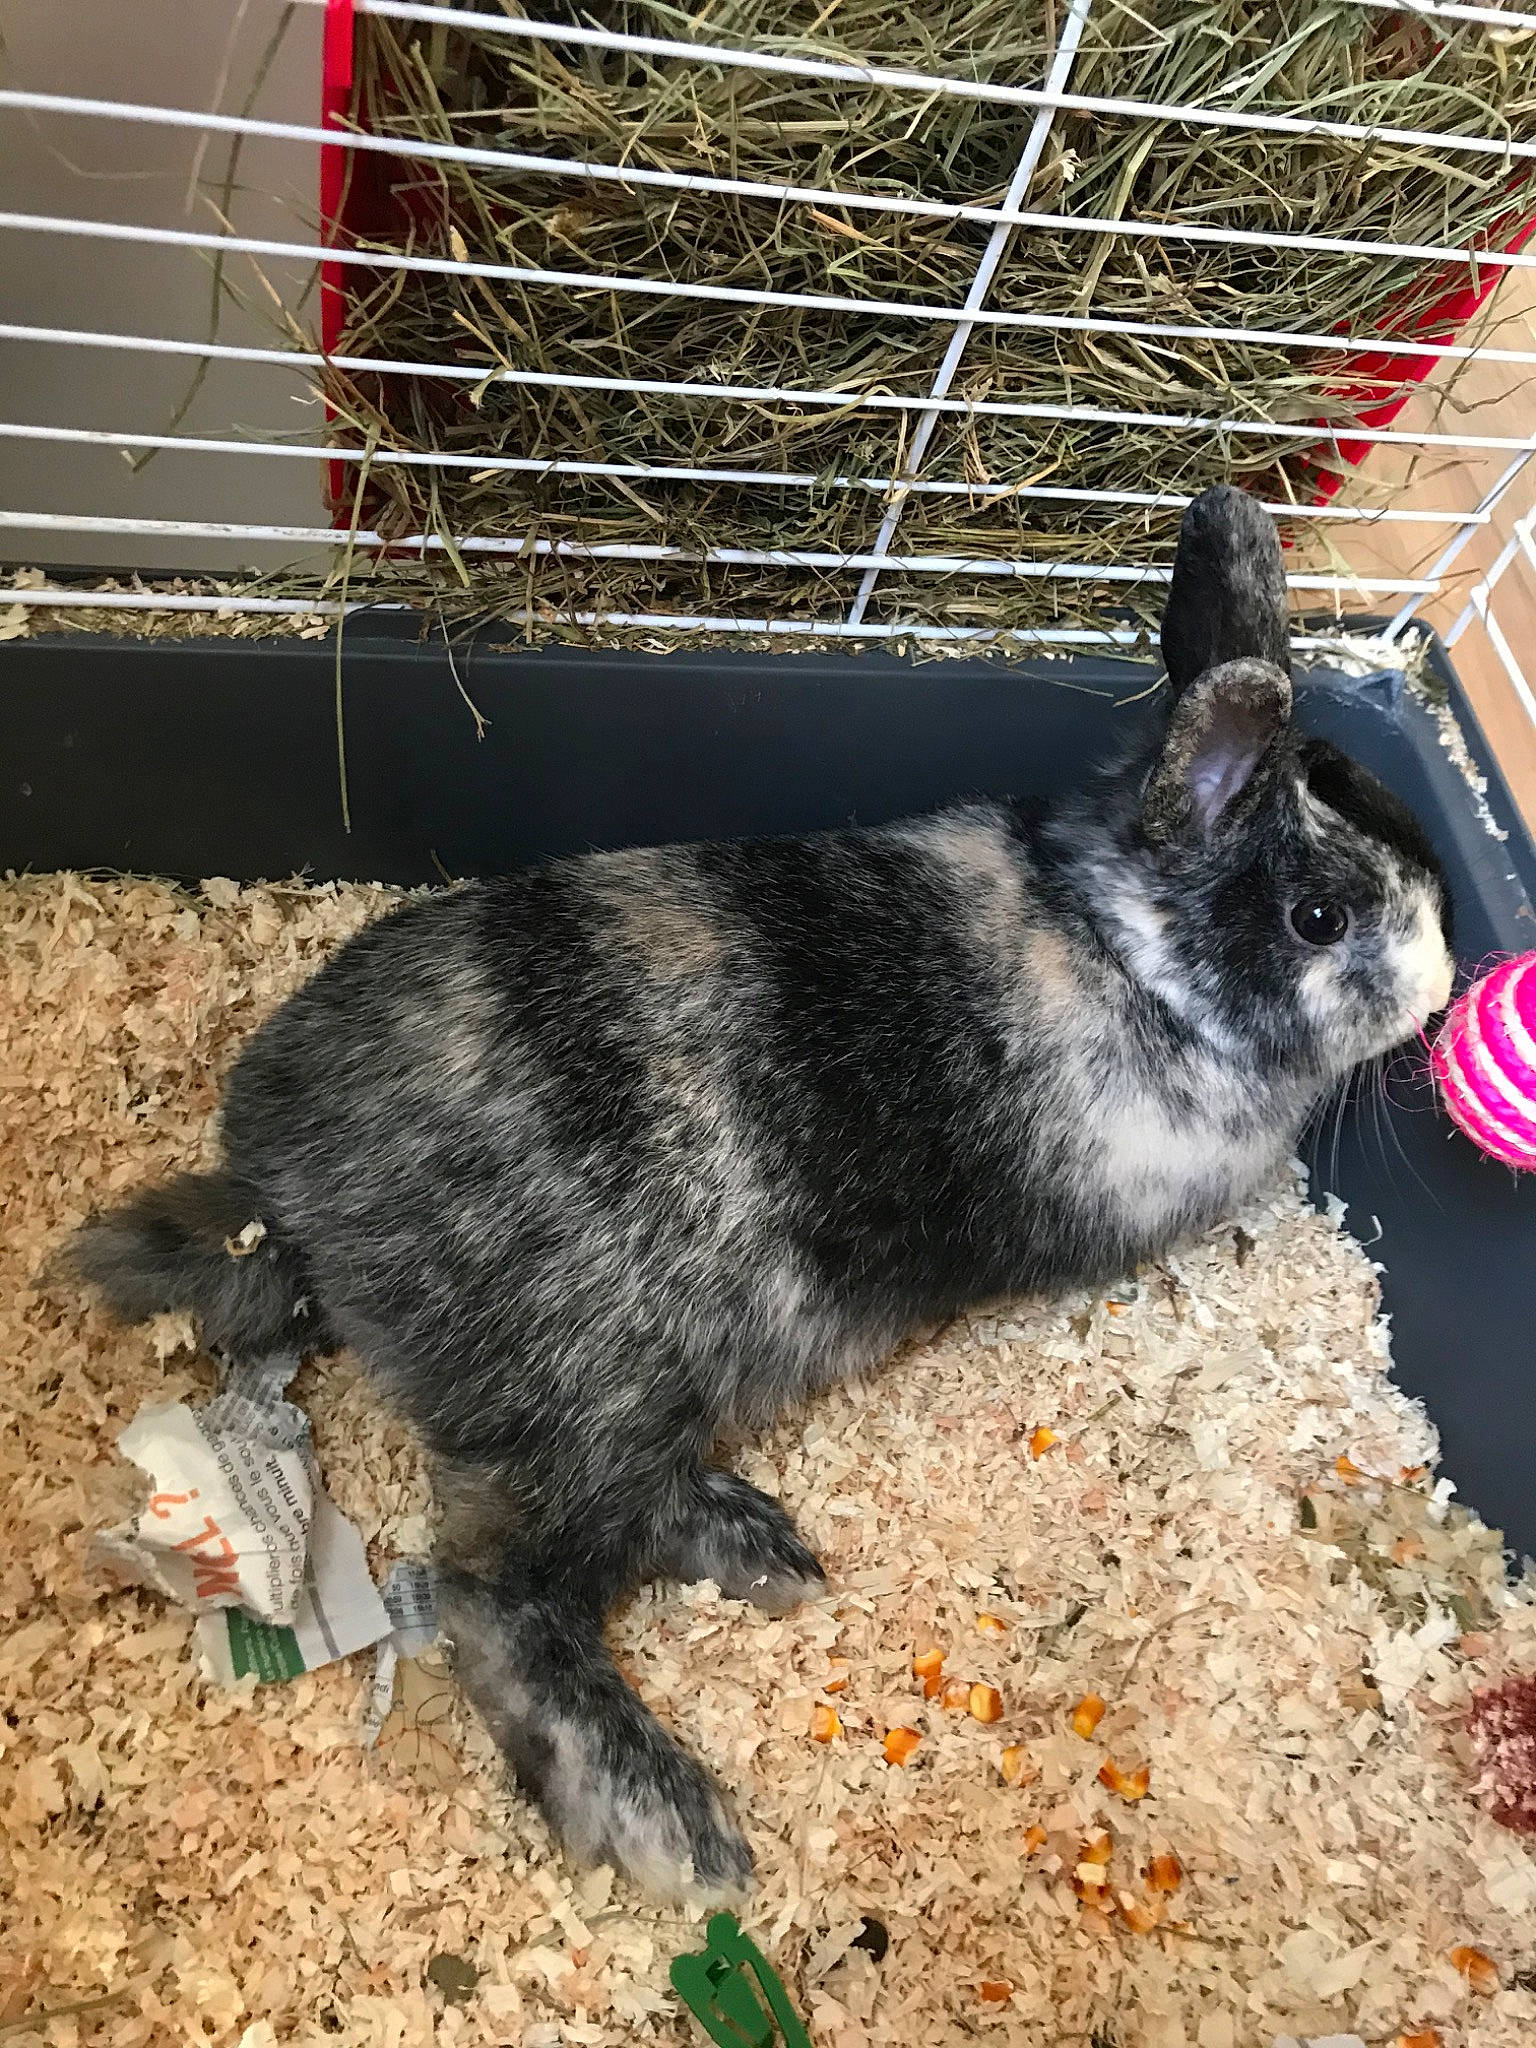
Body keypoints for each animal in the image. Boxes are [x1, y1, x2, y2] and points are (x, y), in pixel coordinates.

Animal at [66, 485, 1454, 1904]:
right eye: (1321, 915)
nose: (1441, 989)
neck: (1123, 948)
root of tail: (289, 1198)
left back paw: (763, 1551)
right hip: (593, 1398)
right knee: (491, 1591)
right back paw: (669, 1818)